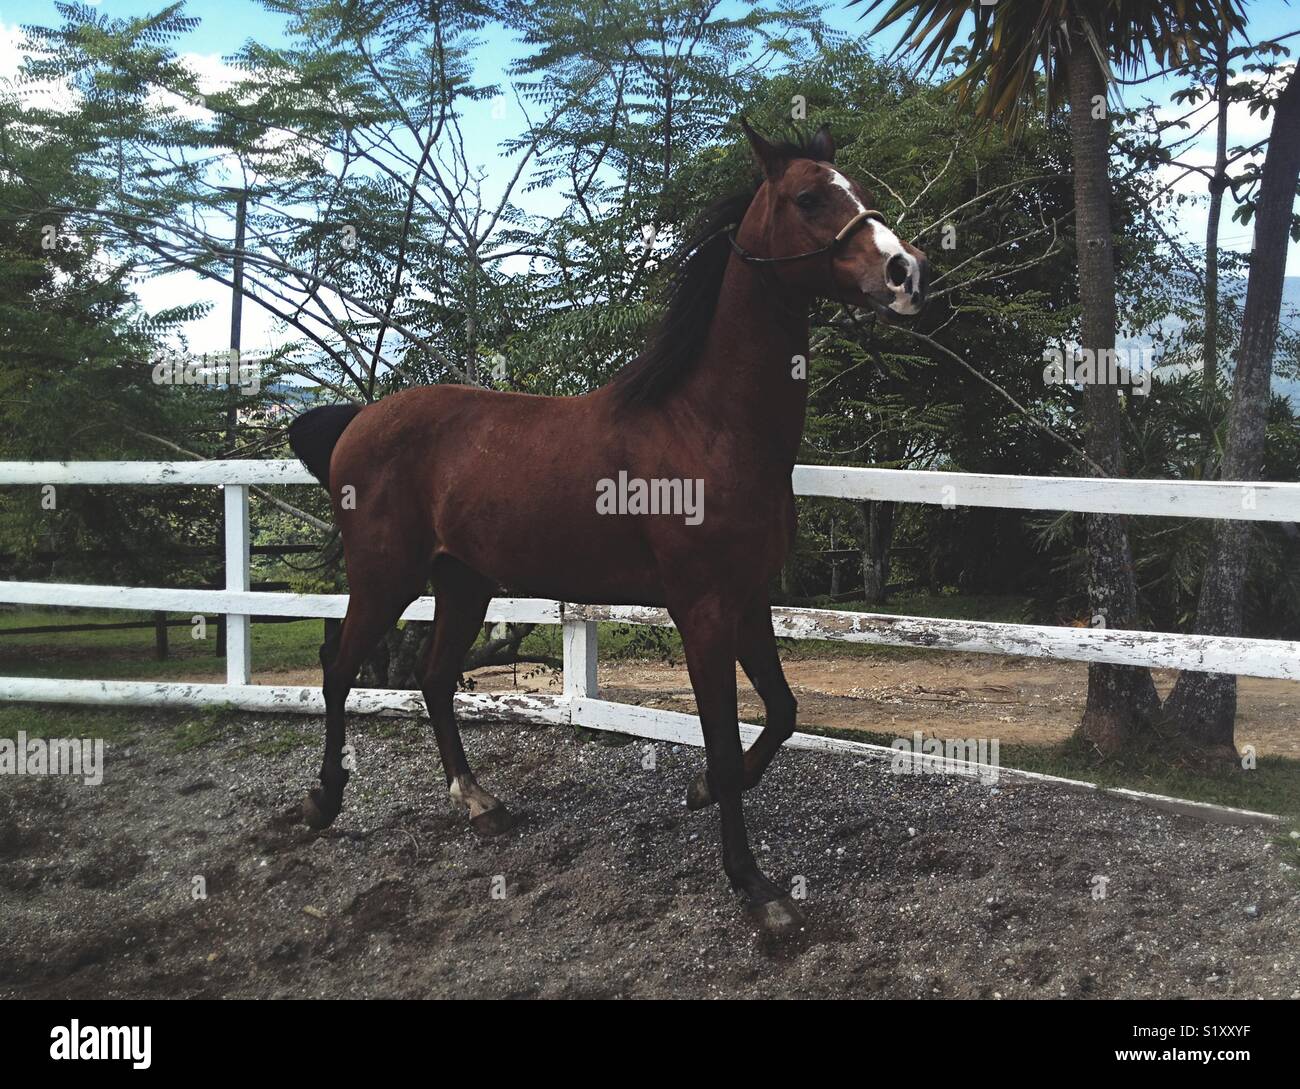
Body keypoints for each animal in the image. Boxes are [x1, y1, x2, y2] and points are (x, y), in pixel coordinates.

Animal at [286, 121, 929, 936]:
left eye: (859, 190)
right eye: (810, 197)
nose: (907, 273)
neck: (708, 426)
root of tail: (357, 423)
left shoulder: (748, 599)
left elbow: (783, 713)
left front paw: (697, 794)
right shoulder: (702, 609)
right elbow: (724, 745)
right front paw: (755, 886)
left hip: (463, 581)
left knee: (432, 679)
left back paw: (479, 803)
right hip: (383, 576)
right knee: (338, 668)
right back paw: (320, 803)